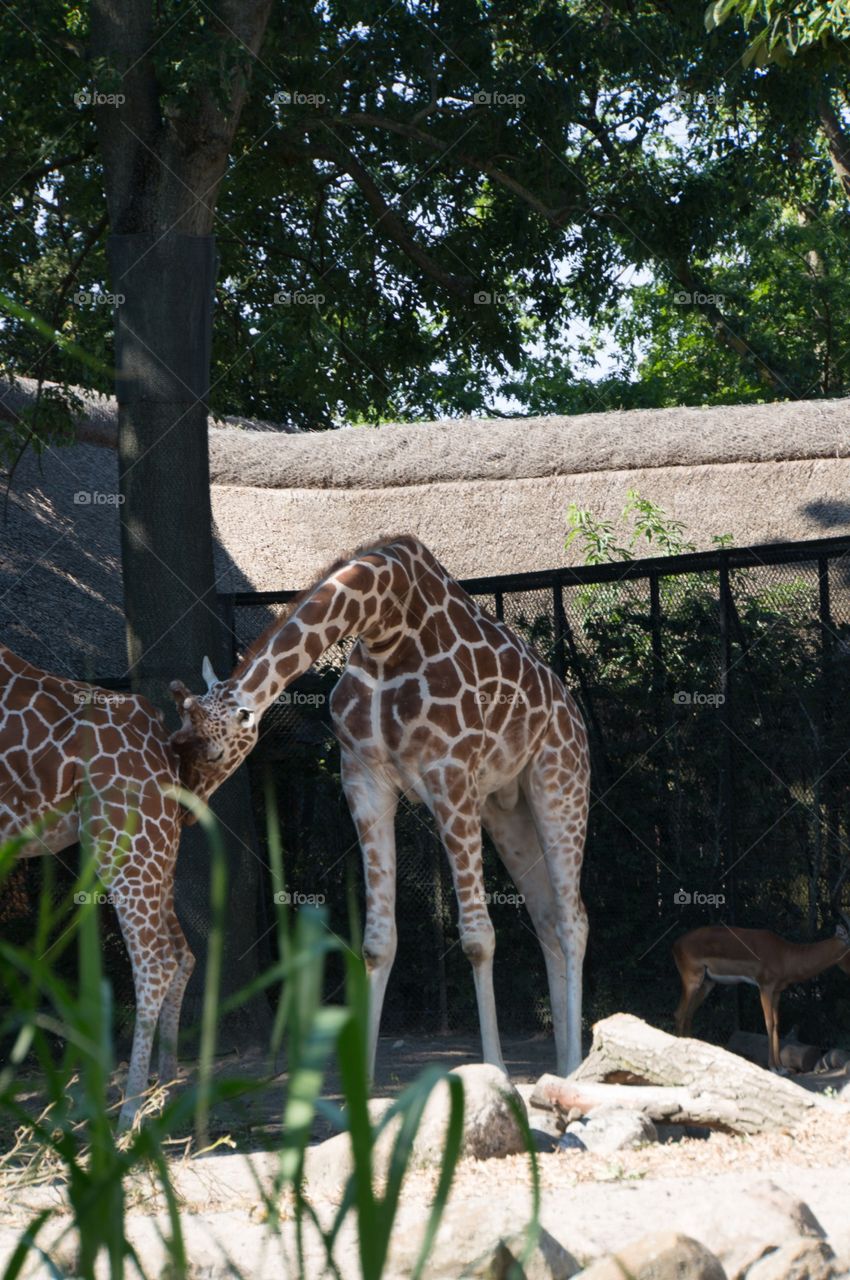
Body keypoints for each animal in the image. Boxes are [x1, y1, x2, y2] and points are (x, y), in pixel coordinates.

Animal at [0, 642, 255, 1128]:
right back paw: (166, 1100)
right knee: (181, 953)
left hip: (123, 842)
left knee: (155, 960)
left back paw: (129, 1115)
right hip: (155, 848)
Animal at [171, 534, 591, 1078]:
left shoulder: (451, 775)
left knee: (572, 920)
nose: (184, 810)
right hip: (506, 809)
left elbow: (478, 937)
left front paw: (495, 1073)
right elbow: (376, 942)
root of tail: (573, 712)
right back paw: (562, 1069)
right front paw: (364, 1086)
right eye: (177, 740)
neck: (386, 625)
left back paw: (578, 1066)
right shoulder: (363, 779)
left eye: (215, 753)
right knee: (546, 920)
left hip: (560, 784)